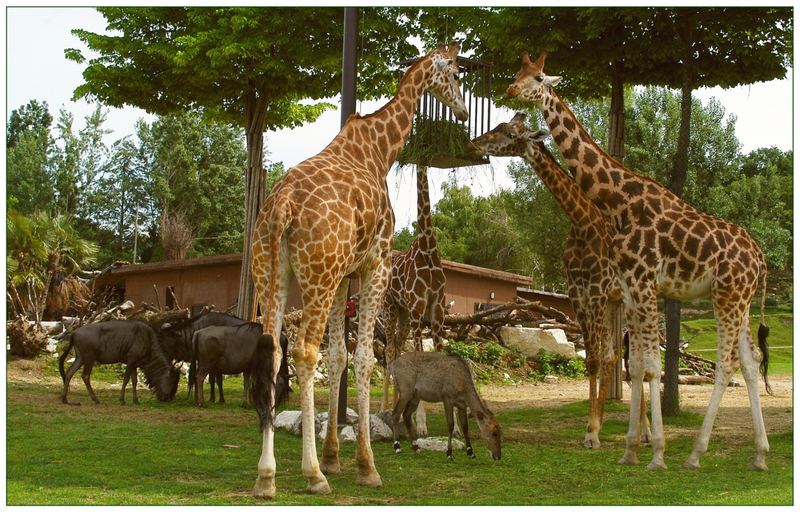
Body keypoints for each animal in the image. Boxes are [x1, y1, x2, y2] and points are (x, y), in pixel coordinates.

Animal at [247, 45, 466, 500]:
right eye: (456, 72)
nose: (463, 111)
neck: (378, 151)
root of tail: (282, 206)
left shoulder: (343, 276)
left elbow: (339, 356)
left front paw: (334, 455)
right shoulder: (373, 265)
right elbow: (364, 357)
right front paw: (365, 466)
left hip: (274, 273)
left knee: (274, 352)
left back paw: (267, 476)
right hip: (317, 276)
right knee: (303, 352)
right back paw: (313, 475)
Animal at [468, 115, 624, 448]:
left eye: (508, 132)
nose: (475, 143)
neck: (582, 222)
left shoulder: (596, 290)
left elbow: (594, 359)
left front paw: (592, 434)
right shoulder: (578, 292)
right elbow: (593, 359)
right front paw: (592, 428)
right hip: (615, 302)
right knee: (614, 355)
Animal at [510, 50, 772, 470]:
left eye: (537, 77)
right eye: (518, 72)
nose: (510, 89)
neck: (618, 200)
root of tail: (761, 258)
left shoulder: (641, 282)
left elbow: (648, 366)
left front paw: (655, 452)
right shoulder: (631, 287)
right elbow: (634, 365)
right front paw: (631, 448)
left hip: (727, 298)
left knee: (726, 364)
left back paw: (695, 453)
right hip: (740, 300)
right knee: (748, 364)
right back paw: (759, 456)